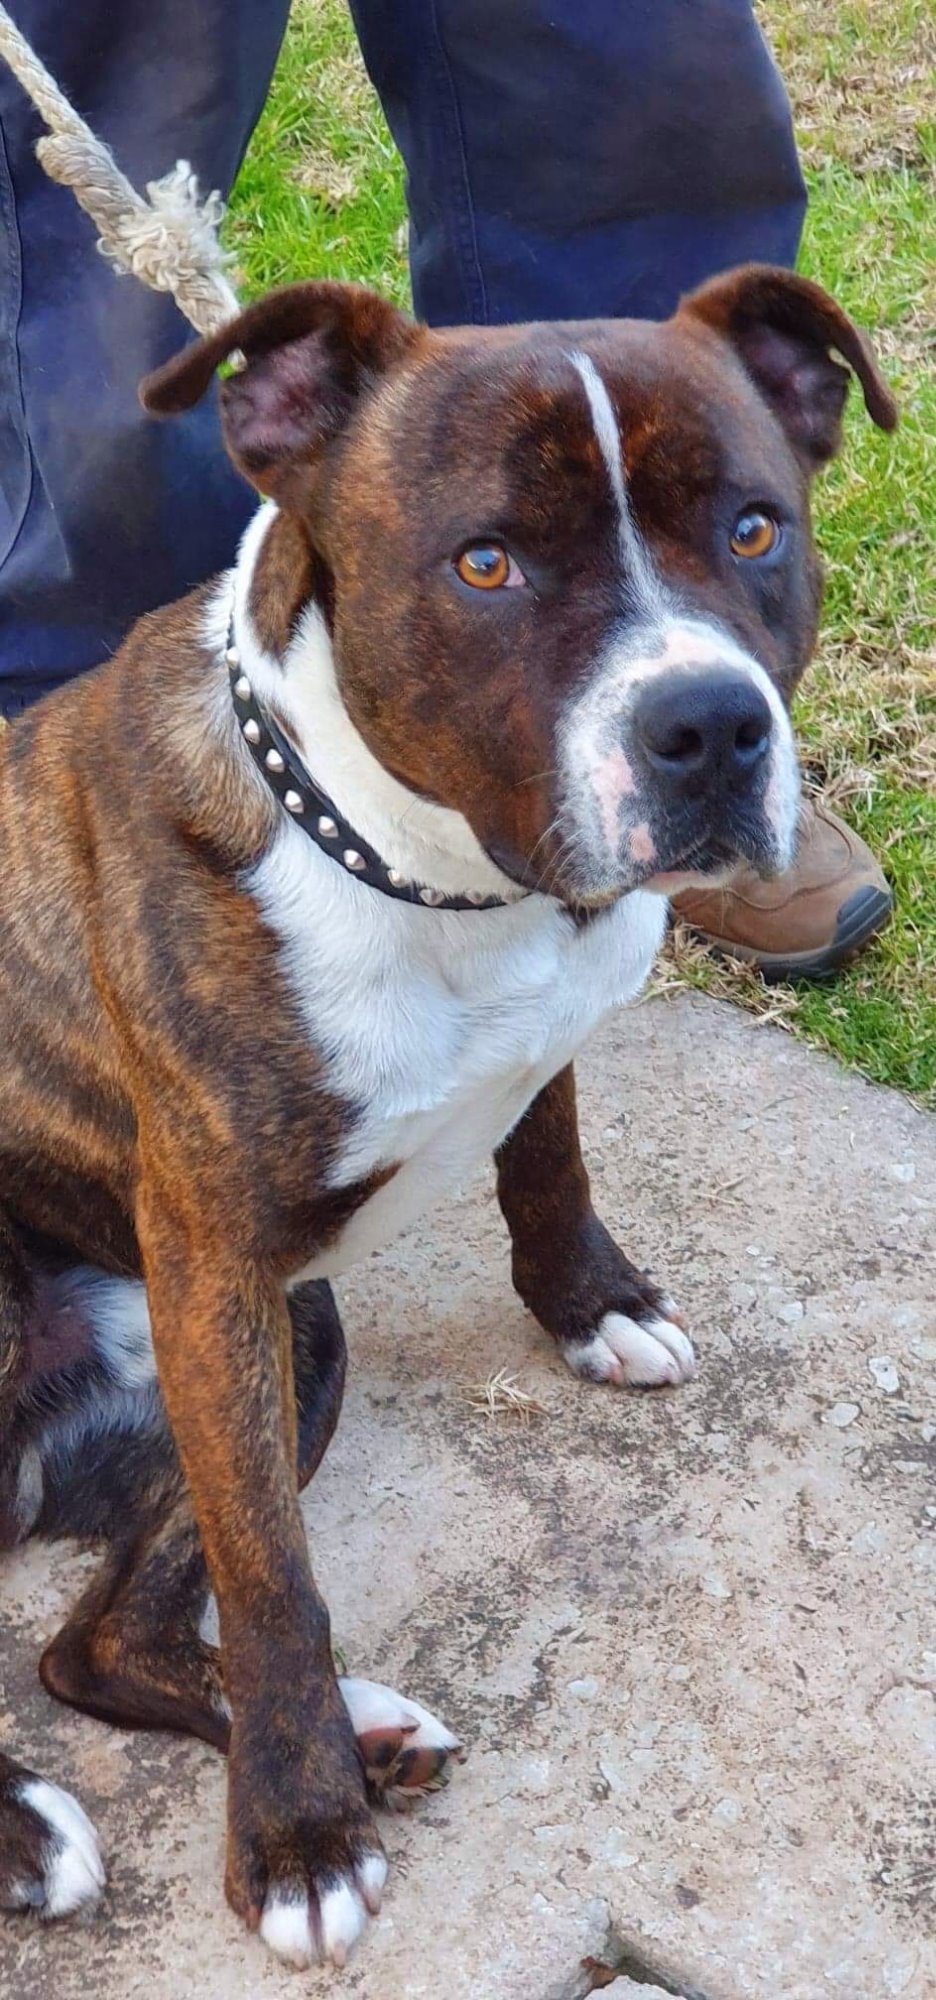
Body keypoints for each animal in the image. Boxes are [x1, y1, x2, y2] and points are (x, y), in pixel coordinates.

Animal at [0, 264, 894, 1968]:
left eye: (755, 527)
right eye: (487, 563)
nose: (708, 725)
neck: (432, 877)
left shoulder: (532, 1048)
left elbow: (548, 1157)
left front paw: (594, 1306)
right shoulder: (214, 1274)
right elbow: (273, 1585)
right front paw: (296, 1835)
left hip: (299, 1338)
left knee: (93, 1647)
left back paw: (362, 1735)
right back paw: (51, 1826)